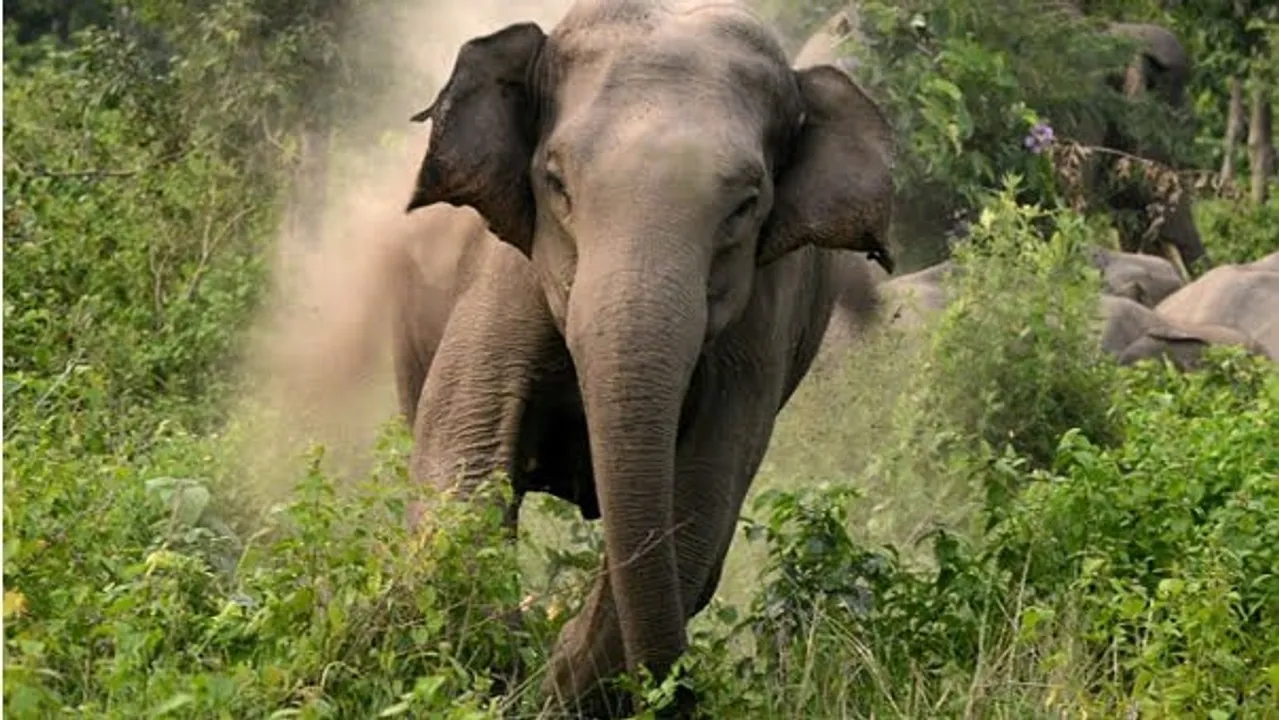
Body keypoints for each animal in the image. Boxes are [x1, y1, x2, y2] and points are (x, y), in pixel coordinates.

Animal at [399, 0, 894, 715]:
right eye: (556, 182)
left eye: (746, 206)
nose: (682, 695)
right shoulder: (504, 273)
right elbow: (462, 458)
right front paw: (500, 677)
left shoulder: (758, 329)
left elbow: (697, 508)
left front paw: (550, 688)